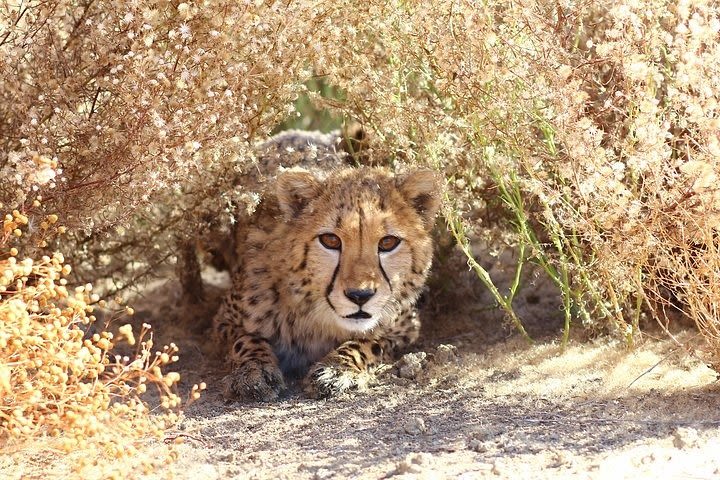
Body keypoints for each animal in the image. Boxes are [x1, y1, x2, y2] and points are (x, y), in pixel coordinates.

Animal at [211, 129, 442, 400]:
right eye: (330, 240)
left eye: (388, 242)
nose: (360, 296)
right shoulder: (224, 321)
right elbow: (246, 340)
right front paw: (253, 370)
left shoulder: (405, 326)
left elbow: (369, 342)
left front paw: (336, 369)